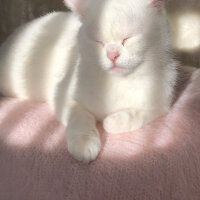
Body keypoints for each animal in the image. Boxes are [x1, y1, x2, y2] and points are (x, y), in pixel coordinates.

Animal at [0, 0, 177, 162]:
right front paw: (84, 144)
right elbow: (81, 118)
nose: (112, 54)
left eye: (127, 39)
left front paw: (111, 120)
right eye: (99, 42)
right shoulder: (63, 97)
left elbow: (134, 117)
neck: (117, 82)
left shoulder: (160, 105)